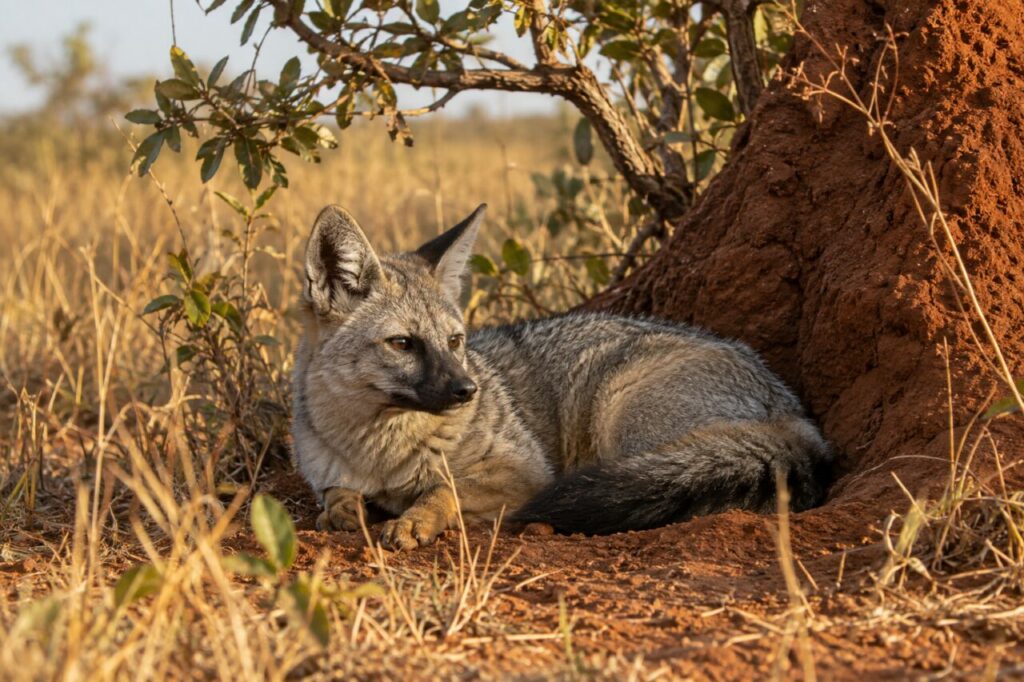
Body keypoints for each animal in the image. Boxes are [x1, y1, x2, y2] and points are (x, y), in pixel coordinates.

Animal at [292, 203, 833, 550]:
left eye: (455, 341)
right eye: (403, 343)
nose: (468, 391)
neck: (380, 452)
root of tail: (794, 412)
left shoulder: (523, 474)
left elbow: (445, 488)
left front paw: (415, 519)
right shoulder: (329, 473)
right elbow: (336, 494)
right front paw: (344, 511)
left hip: (617, 412)